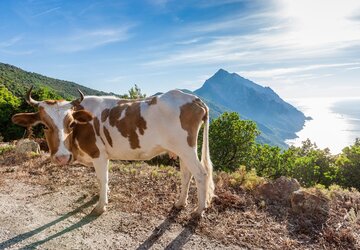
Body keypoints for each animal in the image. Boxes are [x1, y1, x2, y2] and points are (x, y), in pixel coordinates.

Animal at [11, 87, 214, 216]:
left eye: (71, 124)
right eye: (44, 125)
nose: (61, 157)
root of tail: (193, 98)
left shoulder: (98, 154)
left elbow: (103, 178)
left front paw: (101, 206)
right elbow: (101, 179)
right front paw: (102, 196)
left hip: (186, 148)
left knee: (201, 174)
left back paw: (198, 211)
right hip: (181, 150)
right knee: (187, 174)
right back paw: (180, 203)